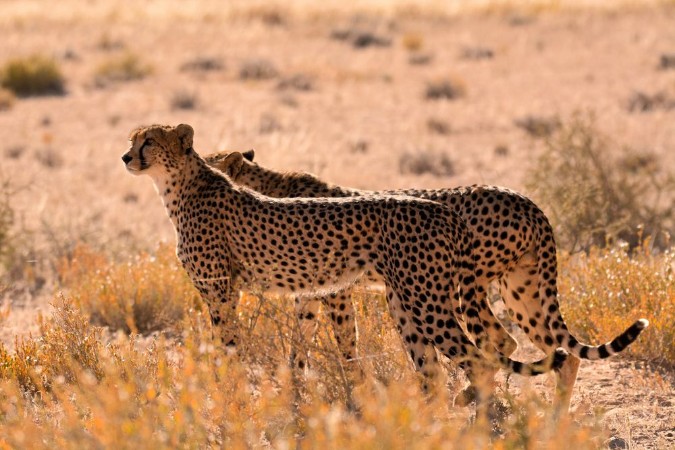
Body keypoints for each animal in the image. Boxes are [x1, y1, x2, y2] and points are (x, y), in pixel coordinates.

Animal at [203, 148, 649, 412]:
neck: (266, 186)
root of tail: (528, 202)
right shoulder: (310, 292)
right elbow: (301, 340)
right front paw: (296, 385)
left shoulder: (336, 292)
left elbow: (345, 343)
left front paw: (352, 390)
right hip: (521, 290)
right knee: (561, 351)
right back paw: (555, 417)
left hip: (462, 287)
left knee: (498, 341)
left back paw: (472, 398)